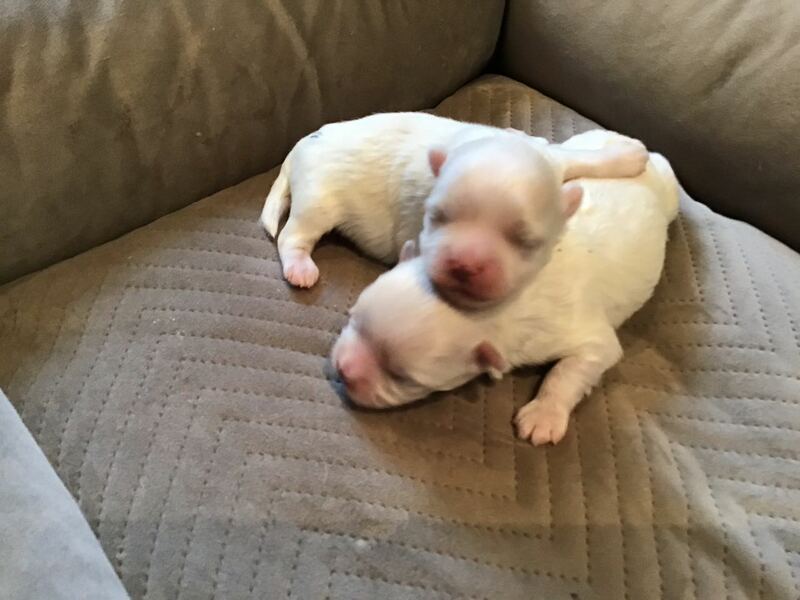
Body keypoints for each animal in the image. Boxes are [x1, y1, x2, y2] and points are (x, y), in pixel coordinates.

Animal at [260, 113, 649, 308]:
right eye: (438, 219)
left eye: (523, 240)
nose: (466, 266)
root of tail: (299, 146)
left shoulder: (553, 159)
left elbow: (582, 158)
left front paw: (629, 156)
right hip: (319, 201)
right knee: (292, 236)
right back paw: (300, 268)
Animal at [331, 130, 679, 445]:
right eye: (352, 319)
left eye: (402, 378)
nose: (343, 371)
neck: (495, 312)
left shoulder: (585, 337)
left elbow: (570, 371)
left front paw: (543, 417)